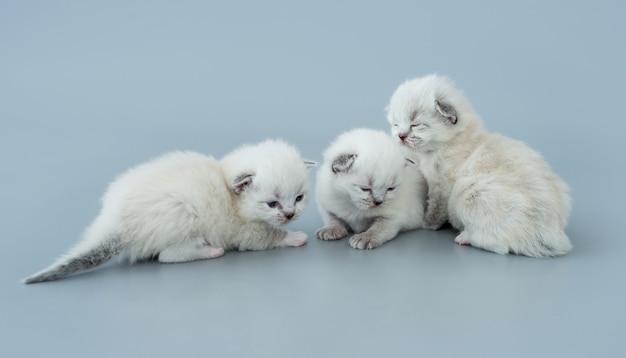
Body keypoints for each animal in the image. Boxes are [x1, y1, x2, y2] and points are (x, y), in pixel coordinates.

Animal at [23, 140, 316, 282]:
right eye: (272, 204)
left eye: (299, 198)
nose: (290, 214)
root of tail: (116, 223)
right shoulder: (244, 232)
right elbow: (269, 236)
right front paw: (295, 237)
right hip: (183, 217)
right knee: (167, 256)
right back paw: (210, 251)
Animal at [386, 73, 572, 258]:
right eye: (396, 124)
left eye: (415, 124)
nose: (400, 136)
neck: (449, 142)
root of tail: (549, 233)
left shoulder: (441, 185)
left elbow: (435, 208)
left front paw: (428, 224)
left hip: (469, 193)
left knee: (499, 246)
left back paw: (464, 237)